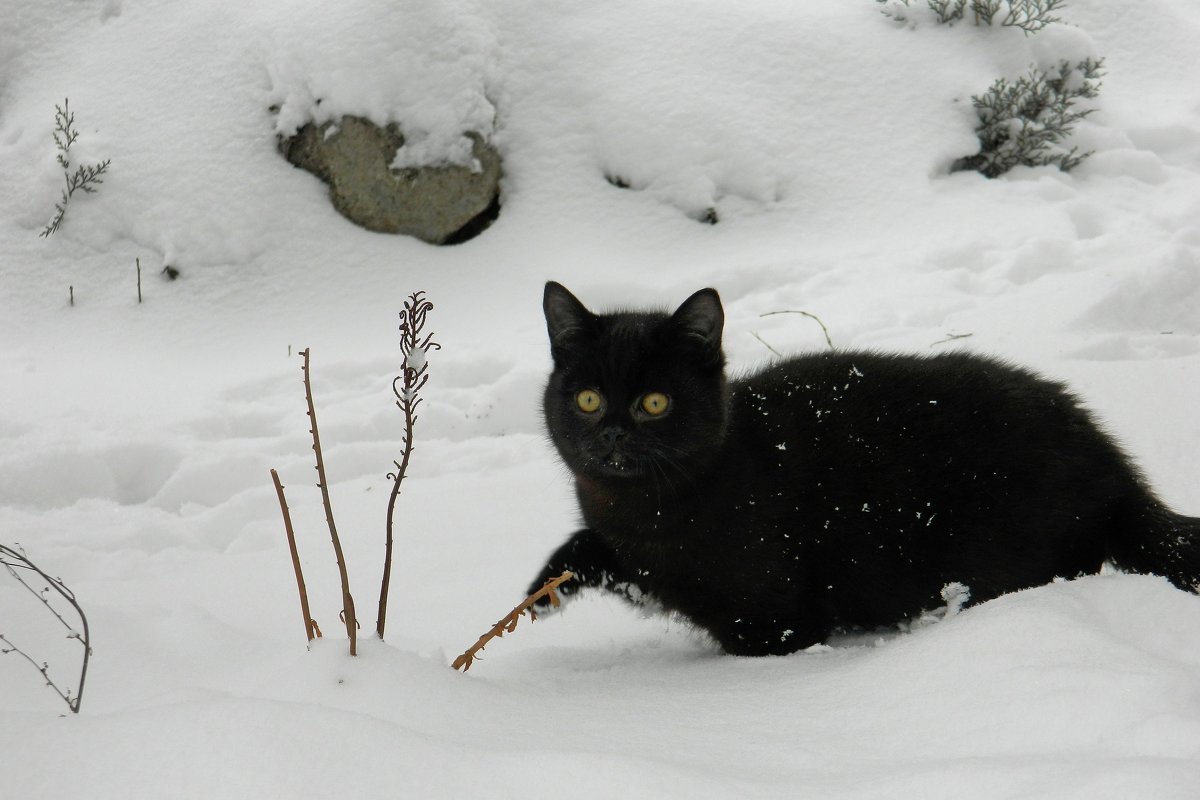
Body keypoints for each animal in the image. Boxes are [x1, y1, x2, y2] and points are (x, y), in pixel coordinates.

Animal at [530, 283, 1200, 657]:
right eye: (588, 399)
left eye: (654, 403)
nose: (613, 432)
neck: (648, 511)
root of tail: (1113, 468)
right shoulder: (638, 557)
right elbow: (592, 548)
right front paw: (543, 593)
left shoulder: (775, 621)